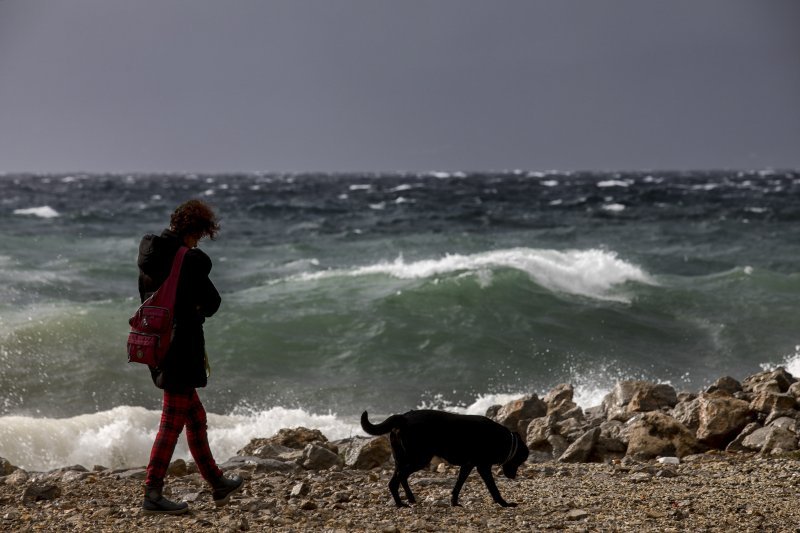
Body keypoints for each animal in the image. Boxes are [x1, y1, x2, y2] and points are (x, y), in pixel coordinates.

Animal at [360, 408, 524, 508]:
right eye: (520, 461)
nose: (512, 476)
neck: (502, 439)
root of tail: (403, 418)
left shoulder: (468, 465)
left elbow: (458, 485)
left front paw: (454, 502)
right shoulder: (483, 467)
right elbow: (493, 488)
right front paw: (504, 503)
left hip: (402, 460)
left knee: (397, 479)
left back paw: (408, 499)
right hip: (419, 459)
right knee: (398, 479)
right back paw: (401, 504)